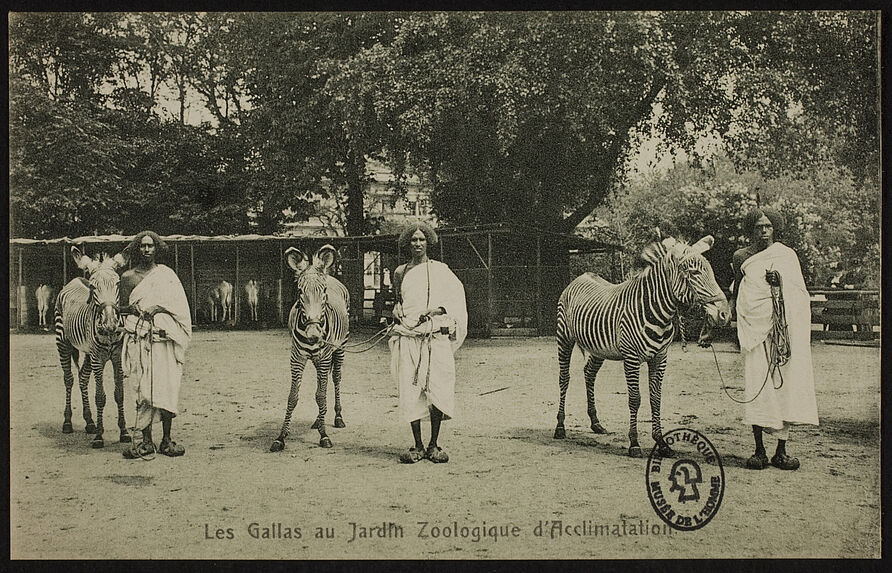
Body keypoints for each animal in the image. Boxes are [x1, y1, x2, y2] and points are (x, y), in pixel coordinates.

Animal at [53, 246, 131, 446]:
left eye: (117, 284)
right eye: (93, 287)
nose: (110, 324)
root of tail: (73, 280)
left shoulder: (116, 357)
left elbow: (119, 394)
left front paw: (124, 432)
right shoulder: (98, 358)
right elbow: (100, 397)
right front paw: (99, 437)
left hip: (87, 352)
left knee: (82, 377)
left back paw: (89, 422)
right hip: (63, 343)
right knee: (69, 379)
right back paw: (67, 422)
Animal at [268, 244, 348, 450]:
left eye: (324, 291)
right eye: (299, 291)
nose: (313, 334)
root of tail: (332, 276)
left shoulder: (325, 357)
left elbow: (320, 395)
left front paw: (324, 435)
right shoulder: (296, 358)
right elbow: (293, 397)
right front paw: (281, 437)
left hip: (340, 348)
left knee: (336, 378)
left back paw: (337, 417)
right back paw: (318, 420)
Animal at [556, 233, 732, 456]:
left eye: (711, 271)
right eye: (694, 273)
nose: (725, 315)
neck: (657, 312)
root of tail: (581, 276)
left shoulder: (660, 357)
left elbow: (655, 398)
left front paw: (662, 443)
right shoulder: (631, 358)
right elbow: (635, 398)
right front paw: (634, 443)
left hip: (599, 348)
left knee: (589, 373)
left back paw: (596, 423)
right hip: (564, 337)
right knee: (564, 378)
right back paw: (560, 426)